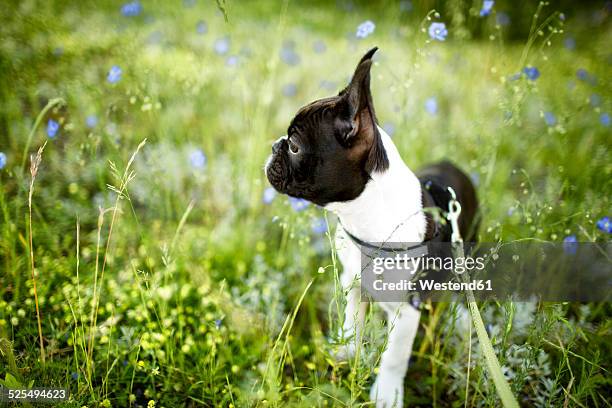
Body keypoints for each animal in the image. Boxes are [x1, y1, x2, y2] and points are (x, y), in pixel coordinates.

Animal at [262, 46, 478, 406]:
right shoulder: (352, 284)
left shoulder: (407, 310)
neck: (366, 223)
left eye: (293, 146)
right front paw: (347, 353)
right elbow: (351, 324)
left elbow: (393, 357)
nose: (274, 144)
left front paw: (387, 393)